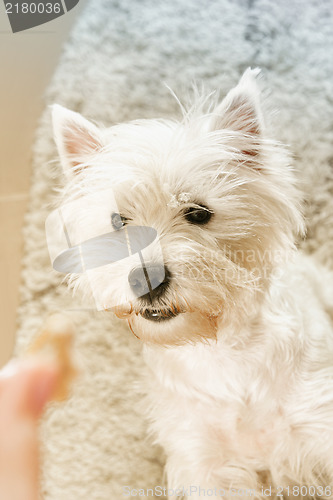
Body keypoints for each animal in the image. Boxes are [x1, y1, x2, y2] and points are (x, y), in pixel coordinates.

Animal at [51, 71, 332, 500]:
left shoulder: (317, 424)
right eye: (118, 221)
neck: (222, 355)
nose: (144, 278)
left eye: (199, 213)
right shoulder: (204, 460)